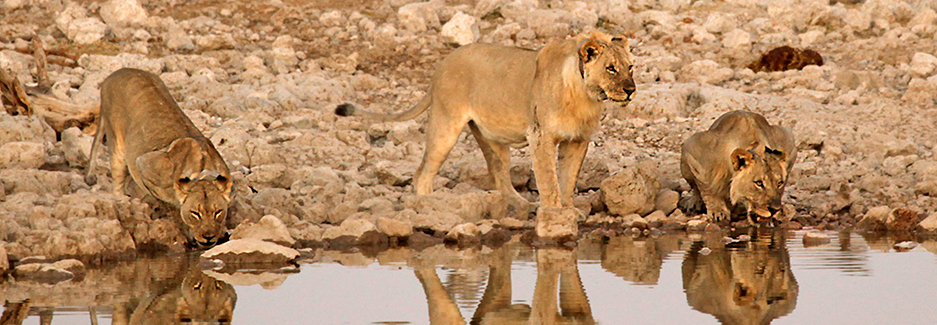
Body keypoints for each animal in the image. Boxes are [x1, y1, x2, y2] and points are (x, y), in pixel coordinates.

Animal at [88, 67, 234, 246]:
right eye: (195, 213)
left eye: (218, 212)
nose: (208, 236)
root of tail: (118, 72)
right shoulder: (144, 165)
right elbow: (171, 207)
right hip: (116, 145)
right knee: (117, 185)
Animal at [336, 31, 636, 237]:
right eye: (610, 68)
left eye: (630, 67)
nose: (631, 90)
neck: (585, 95)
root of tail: (442, 64)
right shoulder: (540, 135)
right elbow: (549, 180)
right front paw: (554, 217)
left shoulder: (578, 140)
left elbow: (568, 179)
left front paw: (569, 210)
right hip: (446, 125)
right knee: (422, 173)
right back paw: (430, 208)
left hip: (492, 138)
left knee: (499, 176)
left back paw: (520, 205)